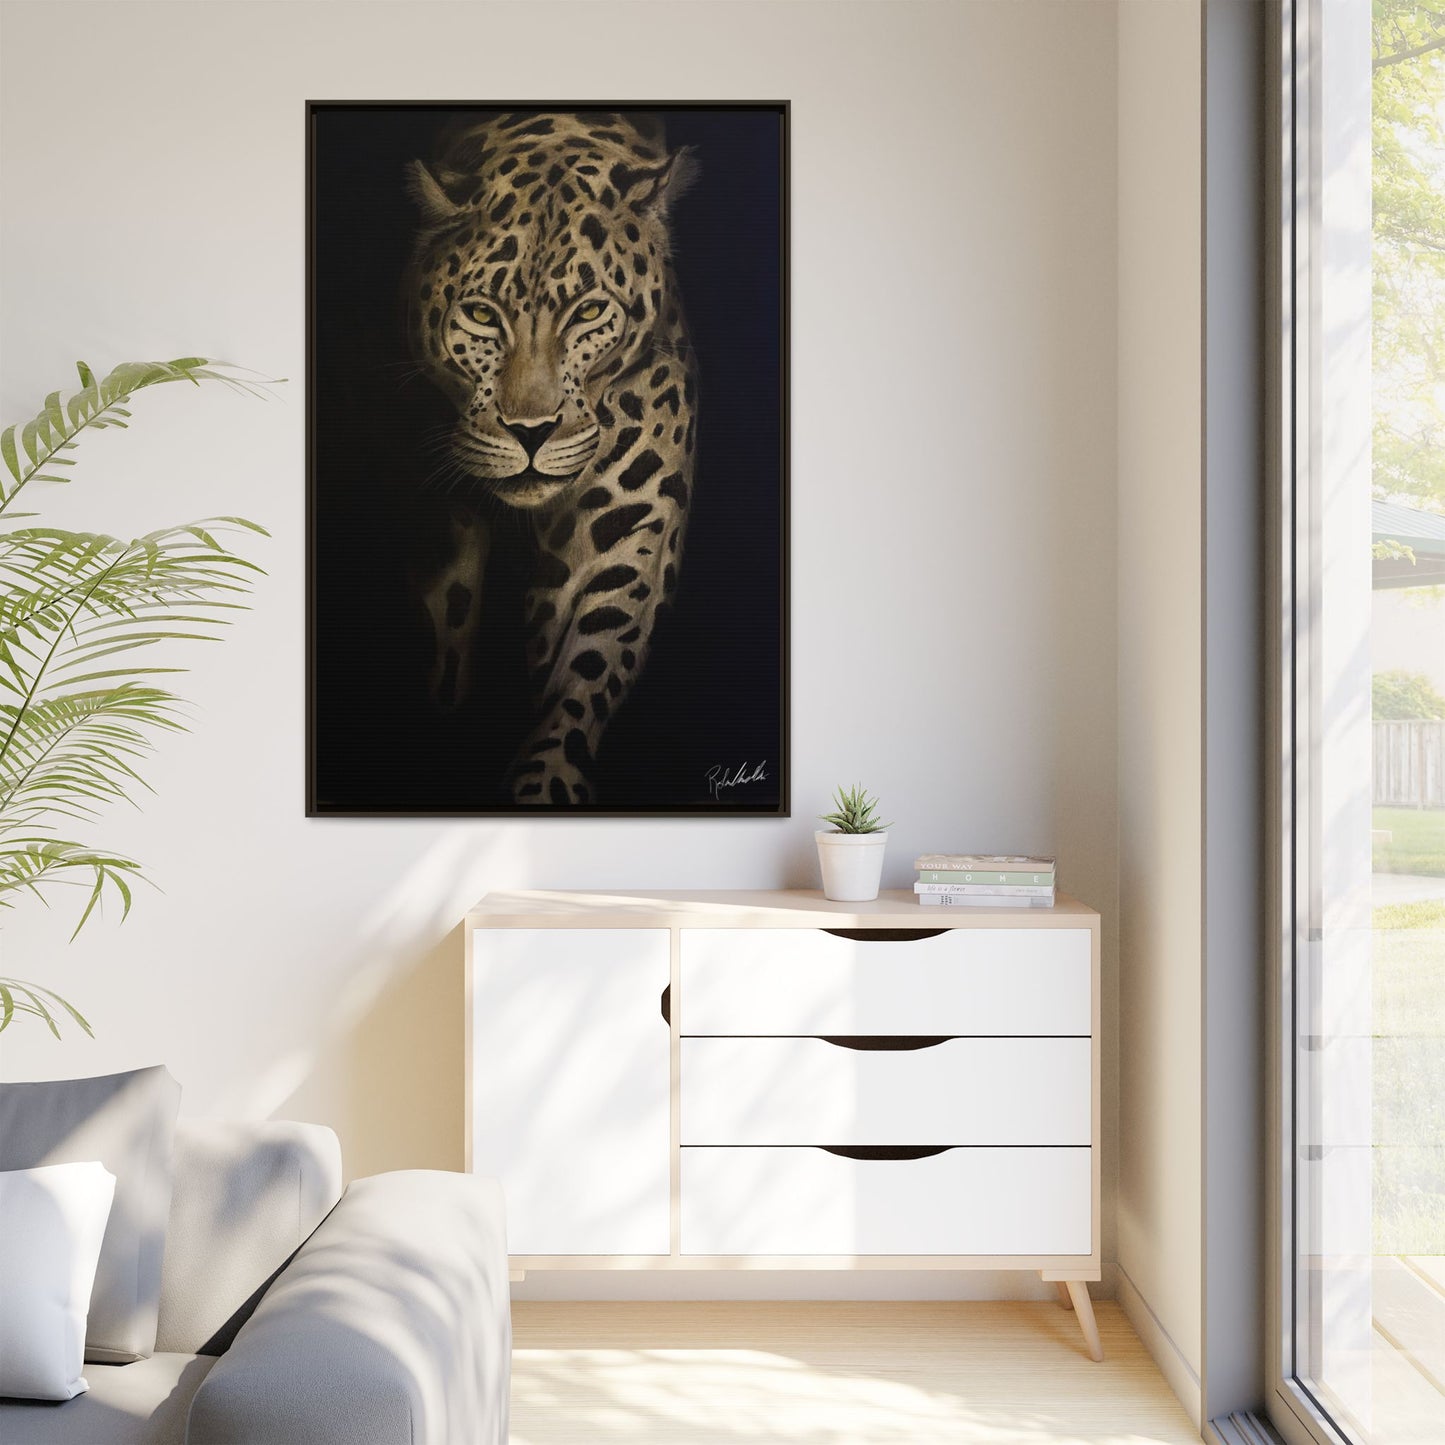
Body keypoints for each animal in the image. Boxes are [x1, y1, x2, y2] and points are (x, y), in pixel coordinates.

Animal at [404, 110, 698, 806]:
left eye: (589, 311)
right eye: (481, 314)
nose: (530, 432)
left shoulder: (627, 532)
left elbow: (587, 672)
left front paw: (545, 785)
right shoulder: (443, 538)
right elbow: (448, 636)